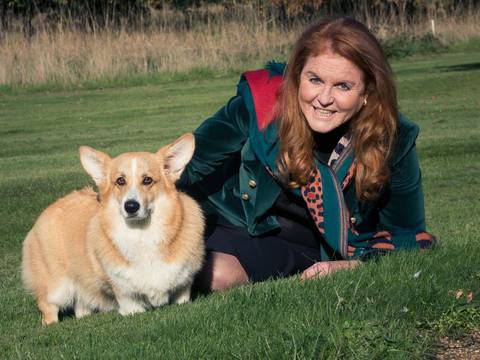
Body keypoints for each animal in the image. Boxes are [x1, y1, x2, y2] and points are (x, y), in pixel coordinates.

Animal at [21, 134, 204, 324]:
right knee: (48, 309)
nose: (131, 206)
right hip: (57, 288)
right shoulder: (126, 296)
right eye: (120, 181)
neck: (141, 234)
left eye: (147, 180)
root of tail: (51, 206)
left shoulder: (182, 288)